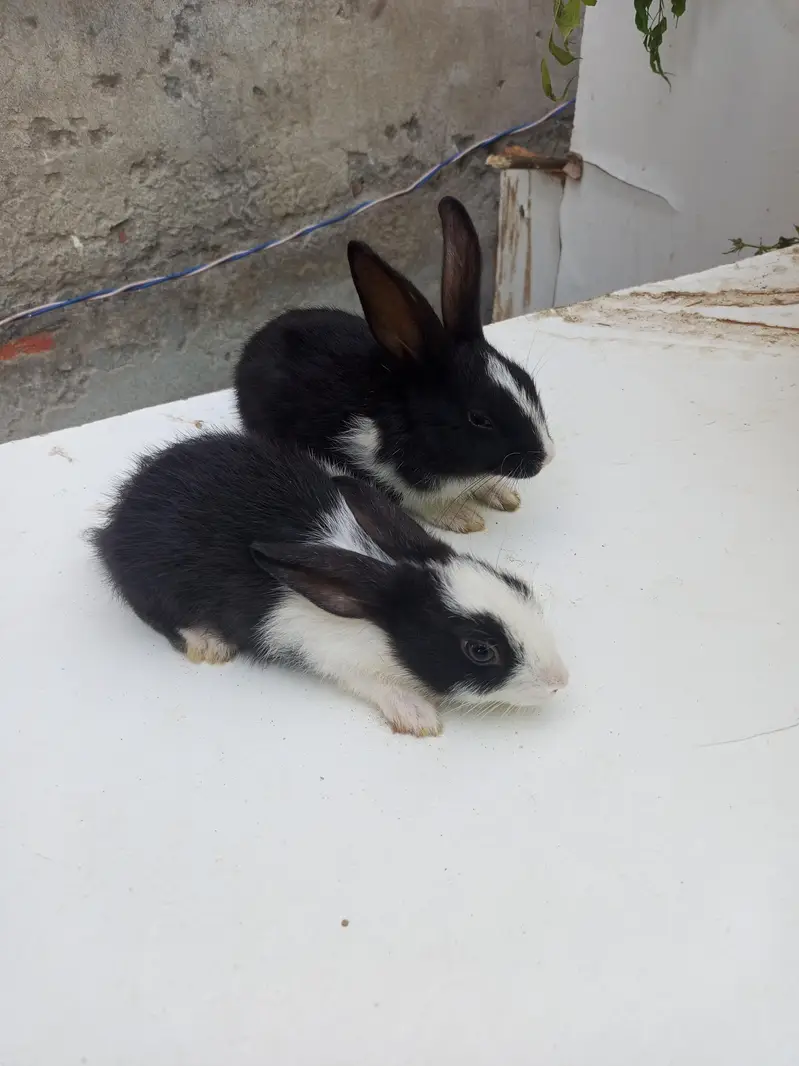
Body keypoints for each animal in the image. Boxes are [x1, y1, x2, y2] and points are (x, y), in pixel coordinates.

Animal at [90, 431, 568, 737]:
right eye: (480, 650)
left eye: (518, 585)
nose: (559, 682)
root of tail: (118, 515)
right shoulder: (328, 652)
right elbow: (372, 682)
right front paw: (417, 716)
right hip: (153, 583)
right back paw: (209, 643)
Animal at [234, 196, 555, 535]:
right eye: (479, 419)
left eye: (525, 379)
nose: (547, 456)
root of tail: (254, 344)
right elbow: (419, 500)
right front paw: (463, 518)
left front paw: (503, 495)